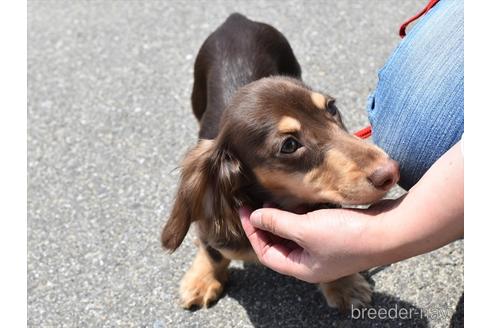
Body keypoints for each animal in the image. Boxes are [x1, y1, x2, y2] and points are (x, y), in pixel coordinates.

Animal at [161, 13, 400, 312]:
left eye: (332, 107)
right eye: (289, 145)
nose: (390, 171)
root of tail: (235, 19)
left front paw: (344, 284)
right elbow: (213, 251)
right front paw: (203, 279)